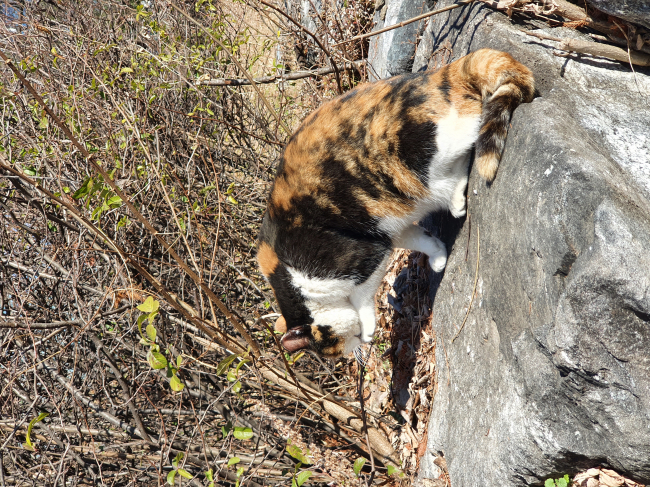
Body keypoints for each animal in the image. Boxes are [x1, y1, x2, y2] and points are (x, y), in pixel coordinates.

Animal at [257, 49, 535, 358]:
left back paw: (455, 199)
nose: (354, 349)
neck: (293, 280)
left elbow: (362, 295)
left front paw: (368, 324)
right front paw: (438, 258)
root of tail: (439, 74)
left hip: (415, 159)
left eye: (330, 351)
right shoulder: (385, 231)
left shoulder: (361, 255)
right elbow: (418, 238)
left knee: (458, 161)